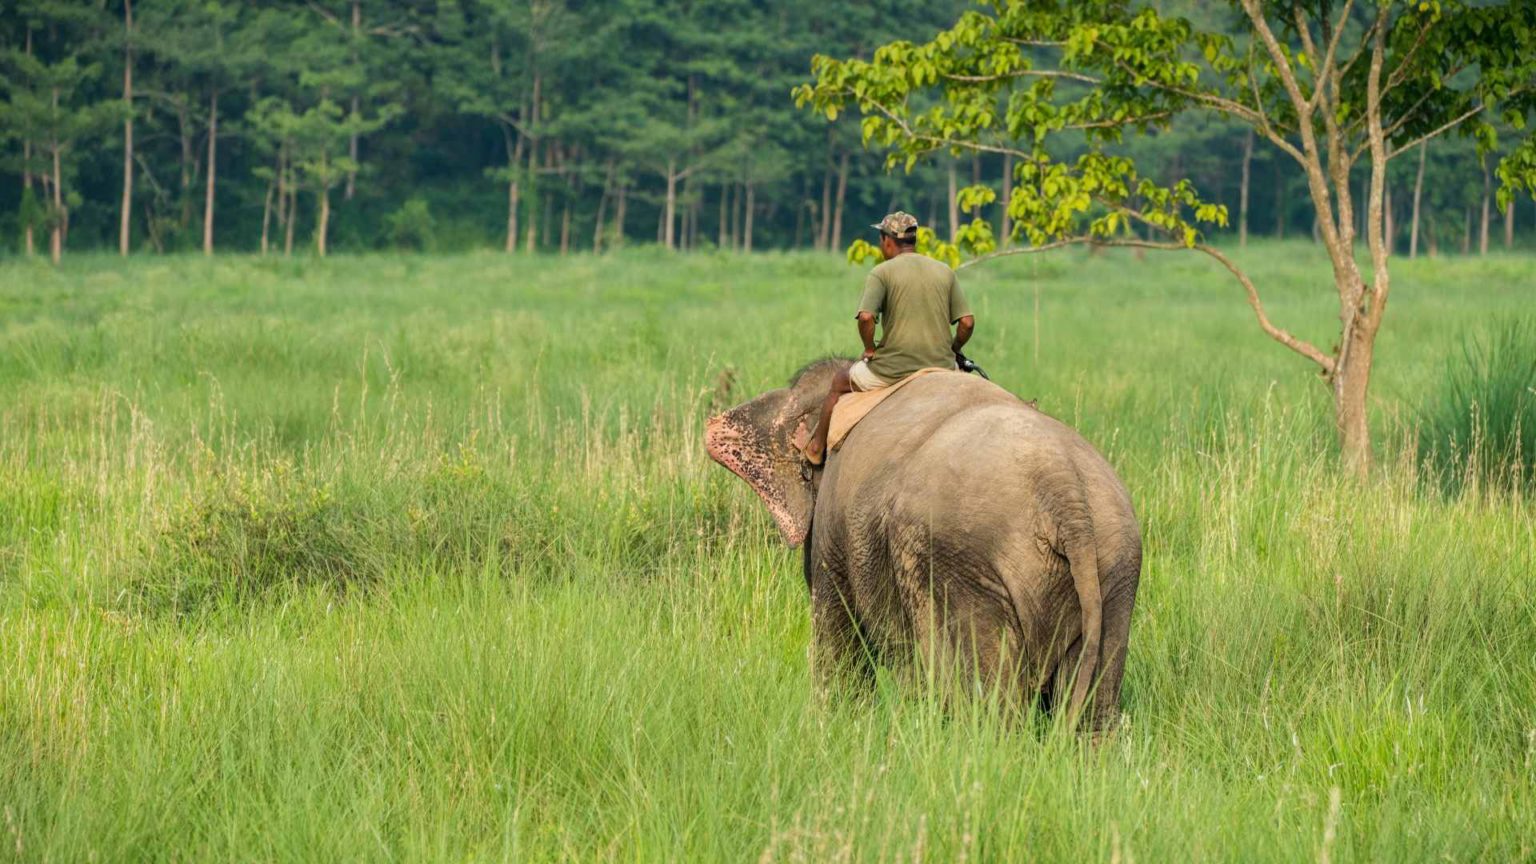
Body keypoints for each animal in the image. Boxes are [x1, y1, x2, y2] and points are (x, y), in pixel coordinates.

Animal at [704, 359, 1141, 731]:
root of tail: (1061, 485)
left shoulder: (832, 531)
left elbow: (839, 634)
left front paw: (838, 724)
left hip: (960, 563)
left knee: (987, 701)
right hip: (1114, 564)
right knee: (1093, 702)